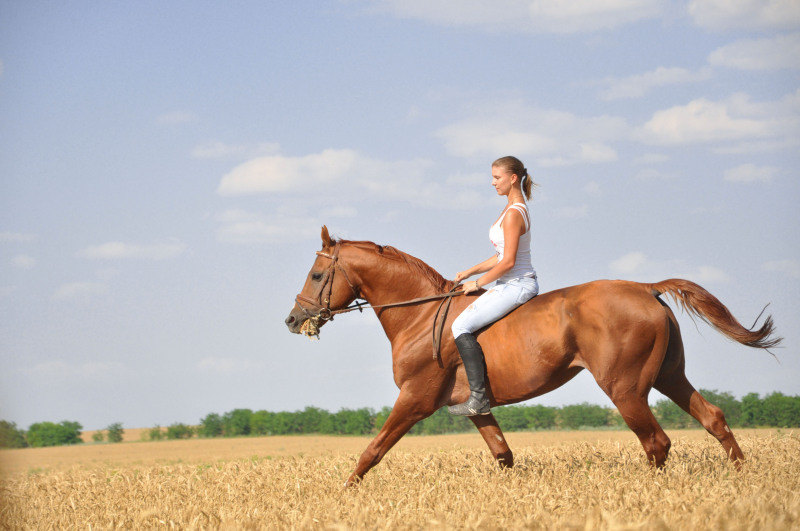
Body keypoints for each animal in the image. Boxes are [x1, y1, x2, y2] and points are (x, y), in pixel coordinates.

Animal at [284, 227, 780, 488]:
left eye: (317, 274)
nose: (293, 319)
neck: (419, 314)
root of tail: (644, 287)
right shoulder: (474, 408)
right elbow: (503, 455)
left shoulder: (414, 399)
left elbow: (373, 450)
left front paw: (345, 494)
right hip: (669, 376)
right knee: (713, 417)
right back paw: (743, 478)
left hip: (625, 387)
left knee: (656, 441)